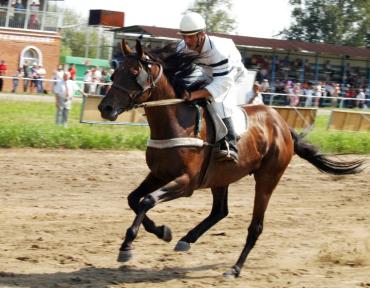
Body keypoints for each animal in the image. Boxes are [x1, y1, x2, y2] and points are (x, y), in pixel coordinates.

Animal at [97, 39, 362, 278]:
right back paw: (186, 239)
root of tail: (283, 126)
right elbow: (134, 199)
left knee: (255, 226)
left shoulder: (186, 182)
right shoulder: (159, 173)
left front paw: (128, 246)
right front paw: (162, 231)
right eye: (115, 72)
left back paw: (235, 268)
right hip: (220, 177)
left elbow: (147, 200)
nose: (105, 108)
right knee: (220, 211)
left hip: (268, 178)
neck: (175, 123)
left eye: (134, 73)